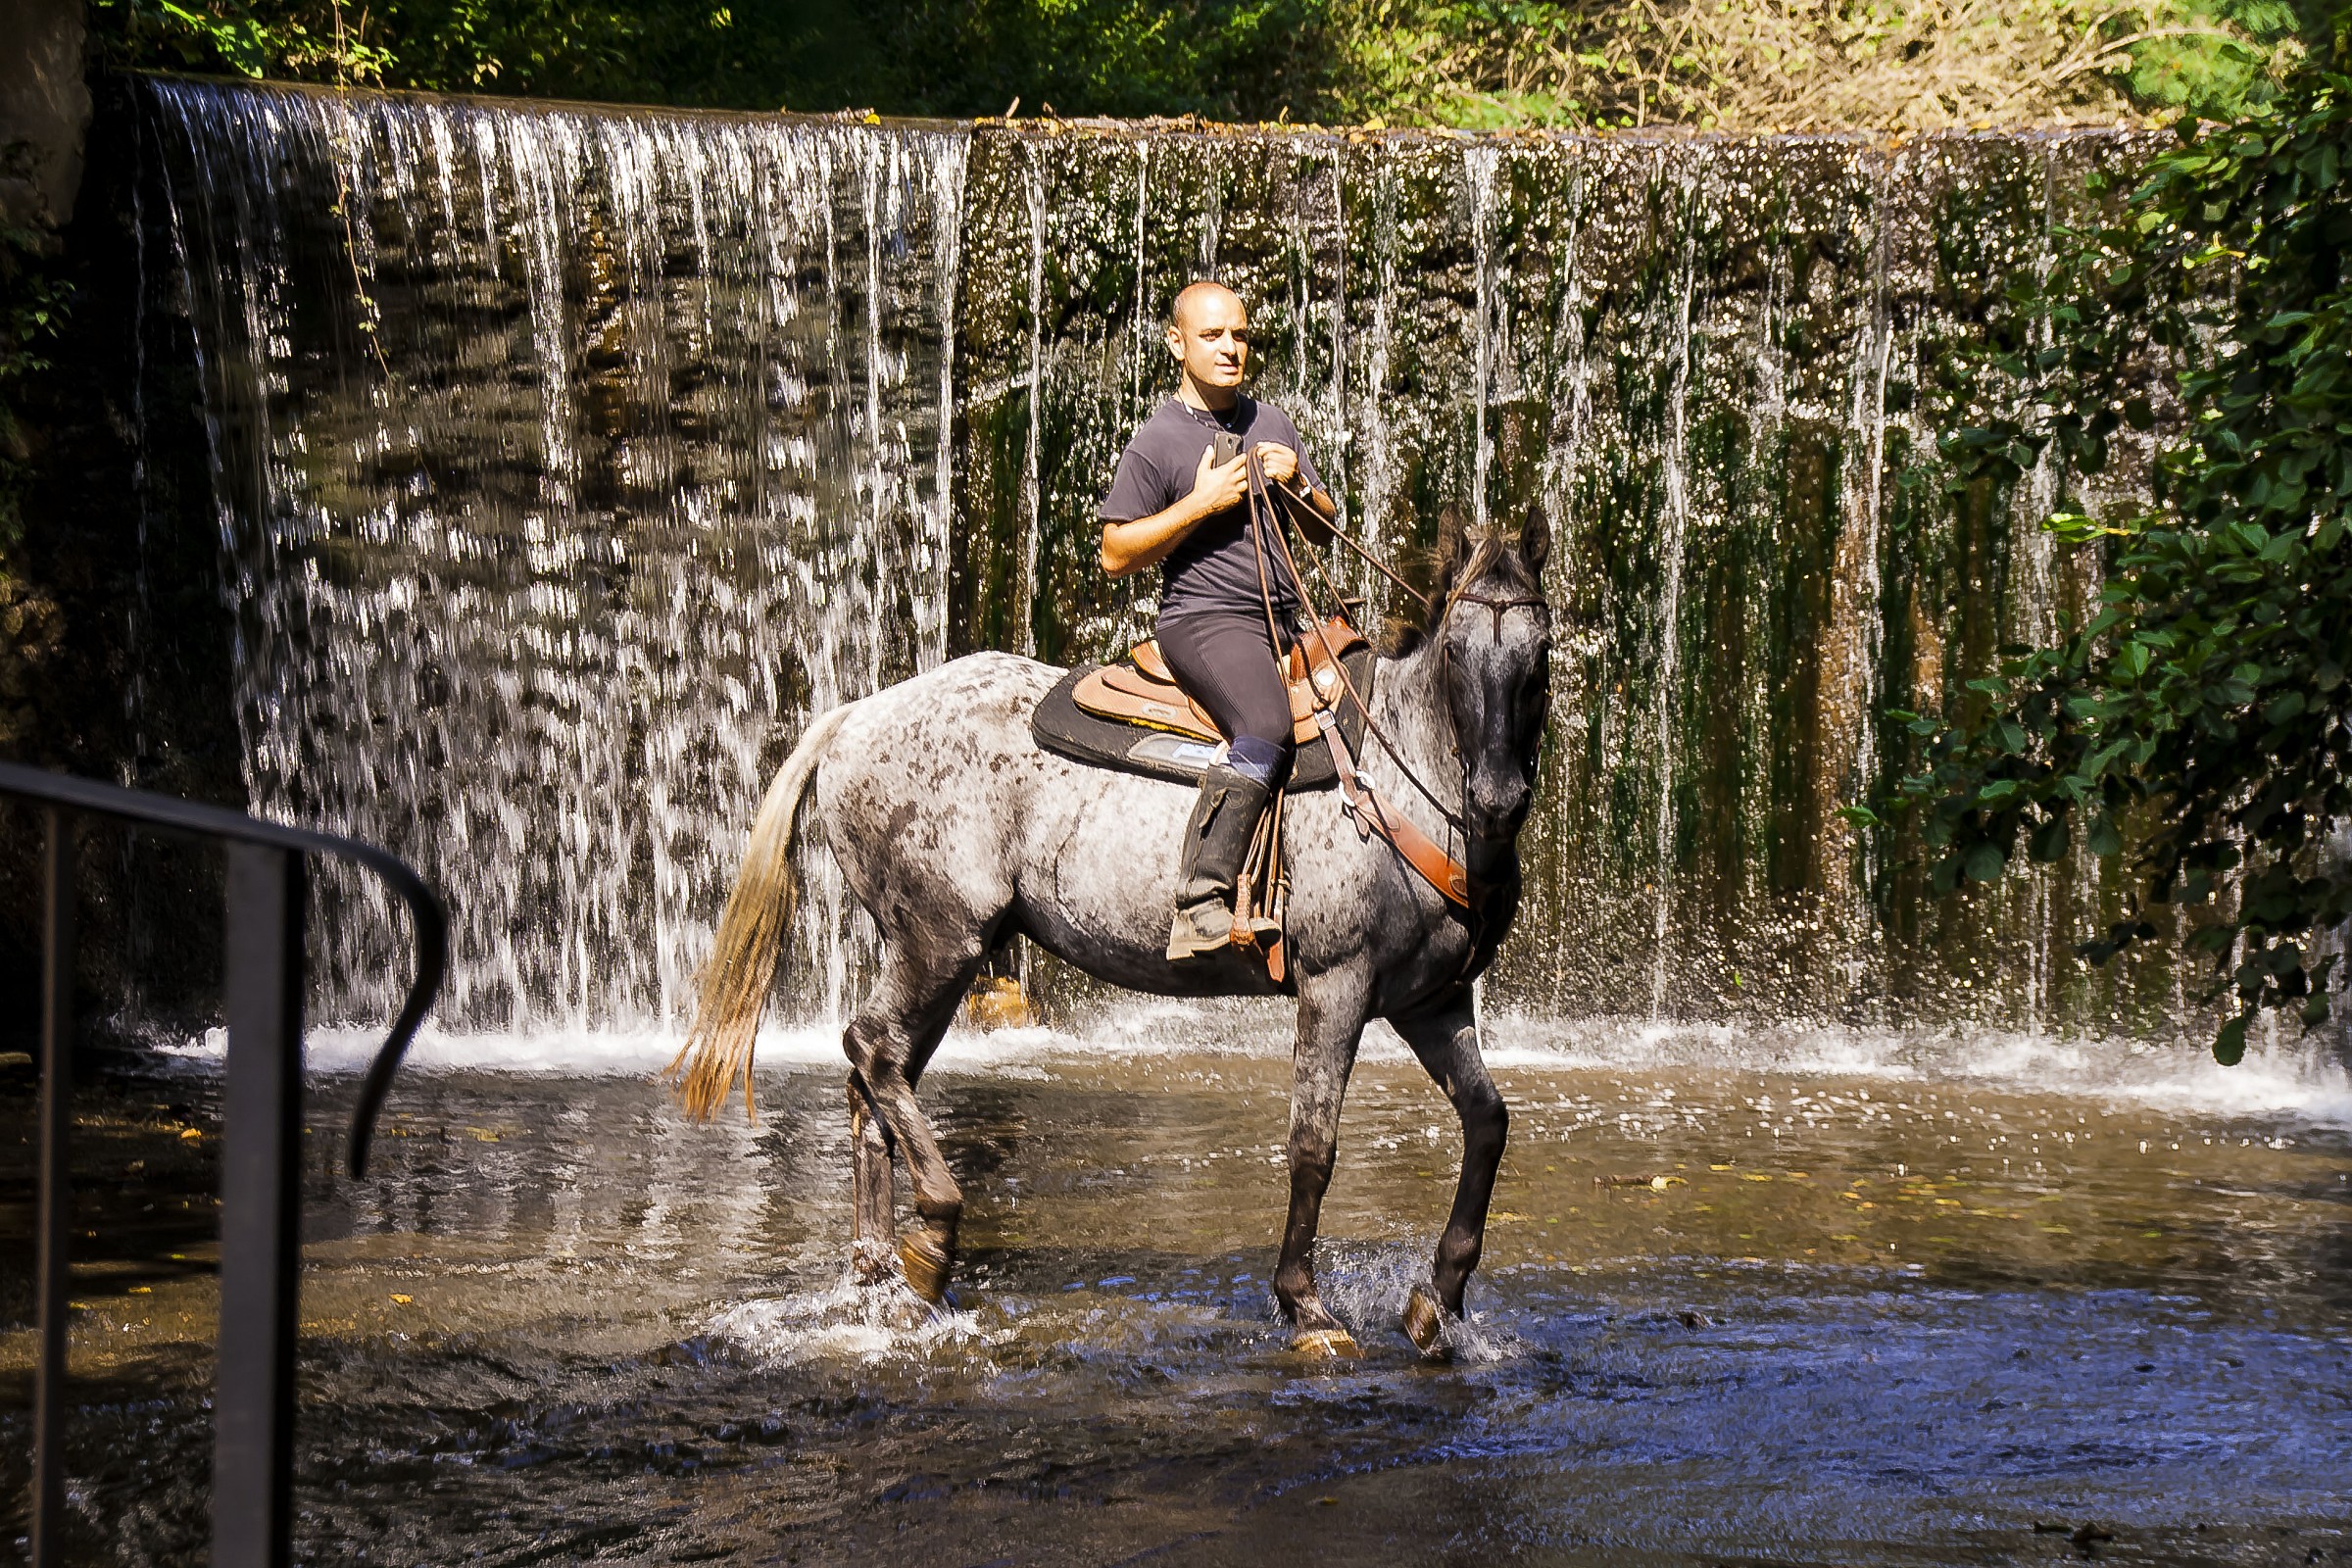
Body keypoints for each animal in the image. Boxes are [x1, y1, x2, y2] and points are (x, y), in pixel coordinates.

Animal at [668, 505, 1554, 1358]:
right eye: (1455, 656)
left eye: (1540, 653)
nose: (1500, 799)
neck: (1396, 777)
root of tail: (854, 715)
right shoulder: (1335, 986)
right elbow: (1313, 1147)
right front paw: (1305, 1306)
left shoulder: (1431, 1003)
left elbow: (1489, 1124)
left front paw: (1439, 1300)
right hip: (938, 938)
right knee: (872, 1052)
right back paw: (932, 1240)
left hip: (938, 958)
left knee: (872, 1078)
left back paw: (877, 1271)